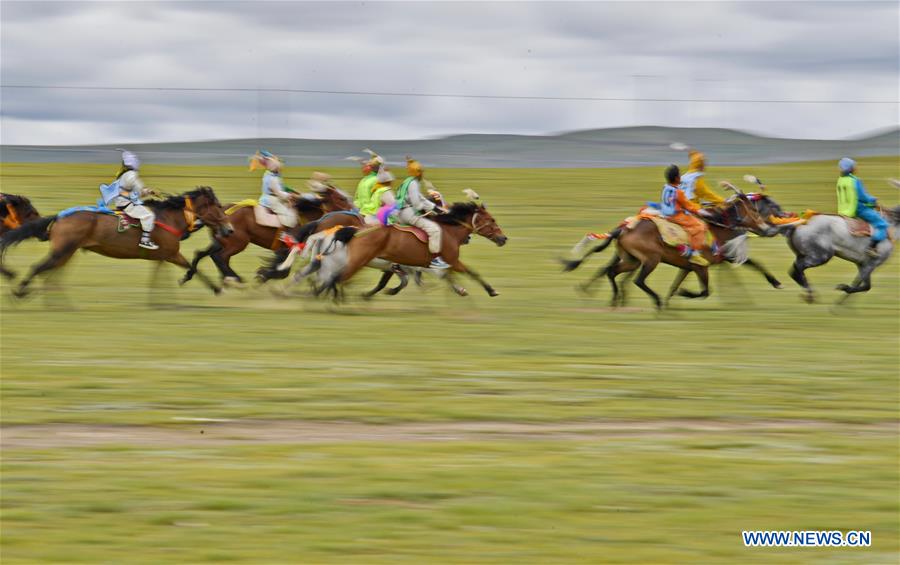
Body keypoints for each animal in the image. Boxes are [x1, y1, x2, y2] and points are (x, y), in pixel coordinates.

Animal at [0, 187, 232, 298]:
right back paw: (20, 292)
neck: (169, 218)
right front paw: (213, 287)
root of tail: (59, 216)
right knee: (38, 267)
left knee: (47, 271)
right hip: (63, 250)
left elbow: (183, 270)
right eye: (218, 206)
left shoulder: (164, 257)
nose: (229, 229)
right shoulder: (171, 253)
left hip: (66, 252)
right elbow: (193, 268)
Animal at [181, 185, 354, 284]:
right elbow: (283, 270)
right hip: (238, 243)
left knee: (203, 254)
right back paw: (234, 279)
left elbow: (282, 269)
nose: (355, 210)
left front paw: (264, 274)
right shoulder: (287, 246)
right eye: (341, 198)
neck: (305, 215)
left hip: (221, 241)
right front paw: (263, 275)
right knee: (220, 257)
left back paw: (191, 276)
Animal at [296, 203, 506, 300]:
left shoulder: (405, 265)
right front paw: (491, 290)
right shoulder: (451, 260)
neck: (449, 231)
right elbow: (471, 272)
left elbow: (397, 282)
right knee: (324, 275)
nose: (503, 239)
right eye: (492, 220)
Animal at [568, 193, 776, 308]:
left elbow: (675, 286)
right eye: (755, 211)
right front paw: (681, 294)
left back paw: (614, 300)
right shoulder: (702, 267)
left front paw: (775, 282)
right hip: (651, 259)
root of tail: (624, 228)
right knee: (636, 280)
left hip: (631, 260)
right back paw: (654, 302)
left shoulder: (692, 266)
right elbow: (704, 291)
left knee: (611, 271)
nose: (769, 230)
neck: (717, 228)